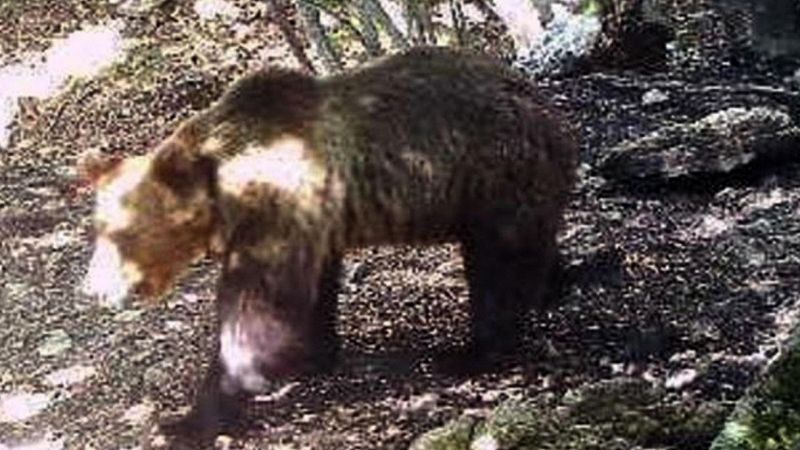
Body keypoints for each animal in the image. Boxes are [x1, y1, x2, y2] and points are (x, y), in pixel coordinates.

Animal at [80, 46, 577, 442]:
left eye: (121, 233)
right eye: (98, 228)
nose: (93, 288)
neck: (227, 193)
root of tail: (545, 105)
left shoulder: (276, 209)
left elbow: (256, 309)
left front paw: (195, 414)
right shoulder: (314, 223)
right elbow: (312, 291)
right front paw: (313, 354)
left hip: (490, 176)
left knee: (499, 267)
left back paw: (469, 352)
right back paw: (557, 284)